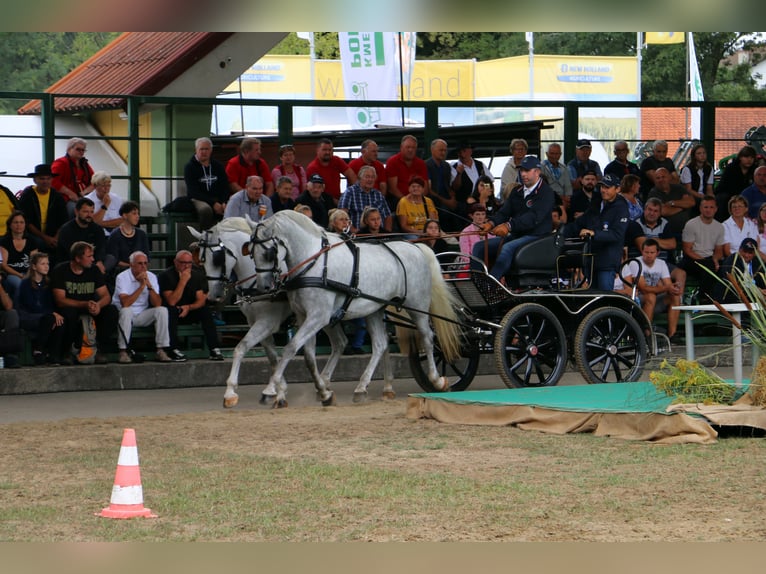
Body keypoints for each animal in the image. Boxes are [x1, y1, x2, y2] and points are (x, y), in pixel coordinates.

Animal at [190, 216, 396, 410]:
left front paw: (233, 393)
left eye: (218, 258)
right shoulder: (257, 322)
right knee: (348, 342)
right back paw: (331, 385)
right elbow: (271, 357)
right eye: (201, 260)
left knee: (381, 343)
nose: (212, 296)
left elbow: (242, 347)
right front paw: (275, 391)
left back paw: (382, 387)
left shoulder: (267, 321)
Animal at [249, 209, 462, 408]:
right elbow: (308, 356)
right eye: (251, 253)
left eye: (269, 252)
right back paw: (362, 388)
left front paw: (273, 387)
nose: (263, 287)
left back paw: (436, 380)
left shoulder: (318, 316)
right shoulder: (304, 316)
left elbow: (291, 347)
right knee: (380, 344)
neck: (315, 262)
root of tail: (416, 247)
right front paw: (323, 392)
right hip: (375, 309)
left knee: (427, 336)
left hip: (417, 305)